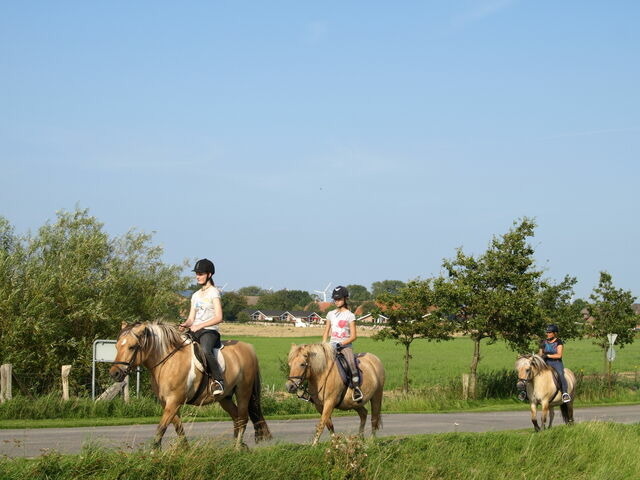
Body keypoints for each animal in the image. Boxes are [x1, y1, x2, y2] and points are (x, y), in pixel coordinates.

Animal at [110, 322, 270, 450]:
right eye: (117, 346)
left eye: (132, 347)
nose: (115, 373)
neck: (167, 362)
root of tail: (248, 348)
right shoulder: (167, 403)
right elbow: (178, 428)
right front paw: (185, 450)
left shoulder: (174, 402)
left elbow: (161, 428)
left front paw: (153, 453)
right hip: (225, 398)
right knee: (236, 418)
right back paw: (237, 446)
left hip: (243, 392)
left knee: (242, 419)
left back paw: (237, 449)